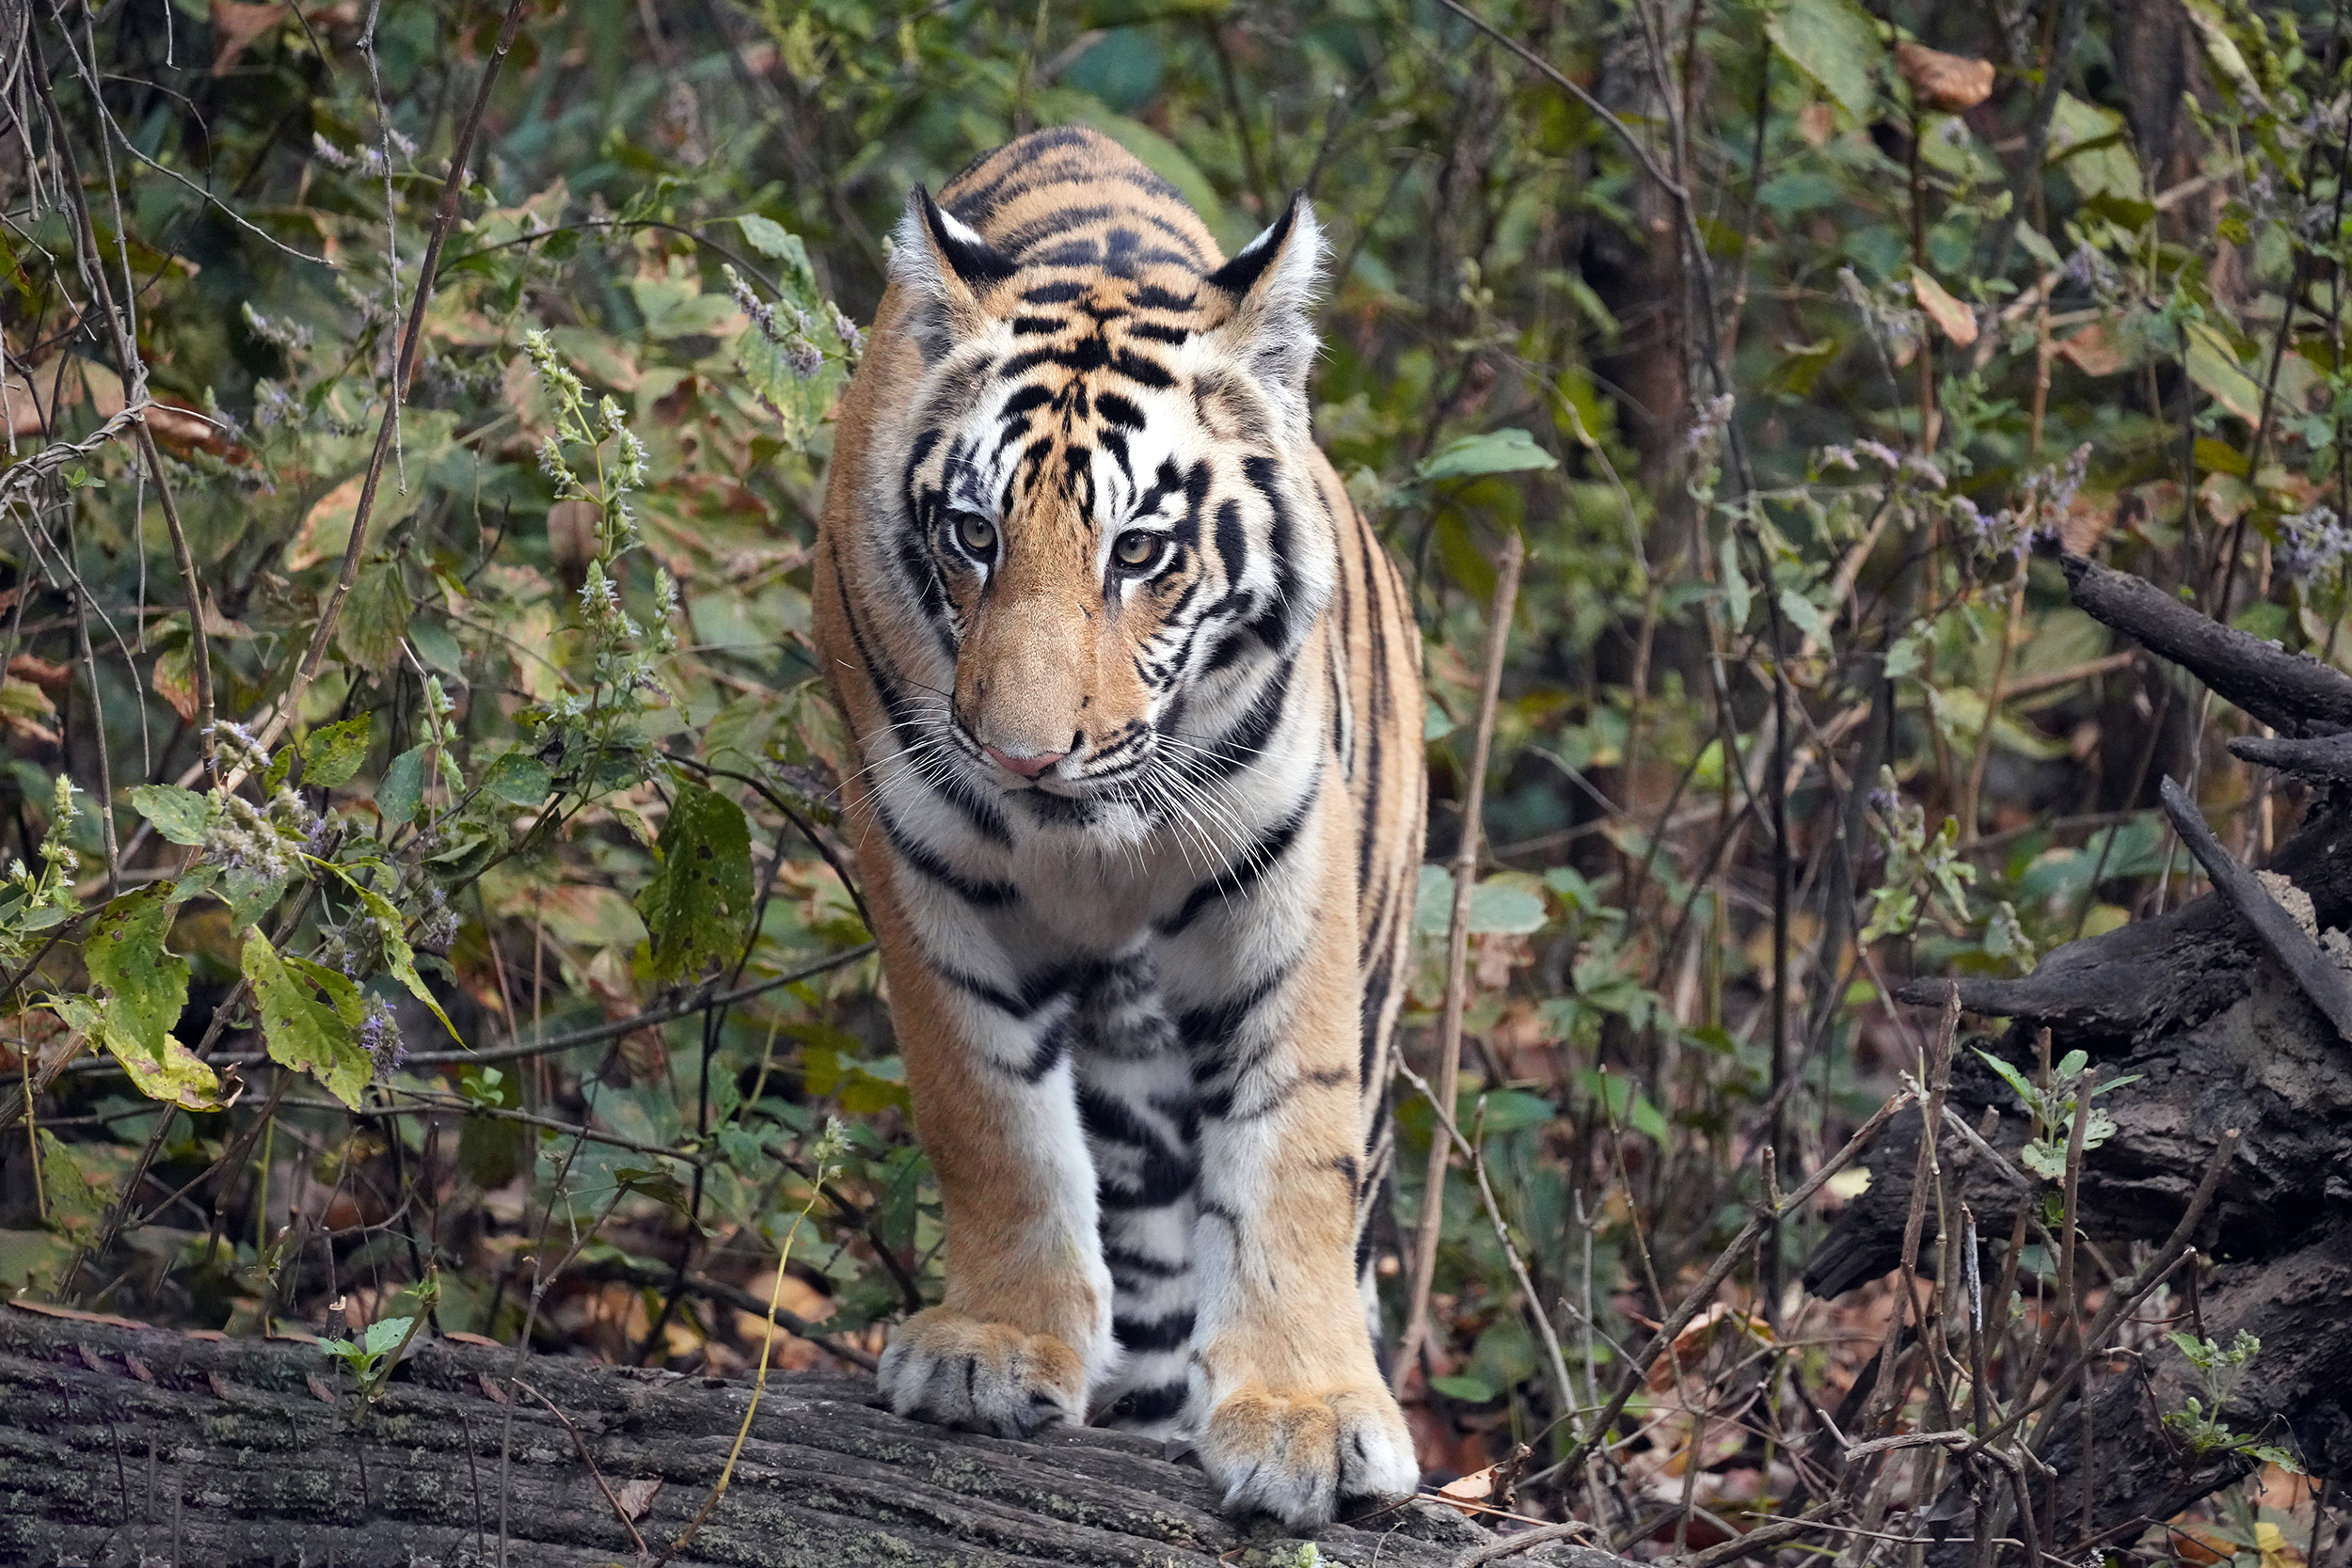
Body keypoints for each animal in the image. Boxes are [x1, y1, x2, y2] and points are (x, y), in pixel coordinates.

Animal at [813, 125, 1426, 1528]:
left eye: (1140, 551)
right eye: (973, 534)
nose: (1022, 752)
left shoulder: (1284, 876)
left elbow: (1292, 1141)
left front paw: (1307, 1416)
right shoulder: (921, 860)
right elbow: (988, 1115)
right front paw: (992, 1346)